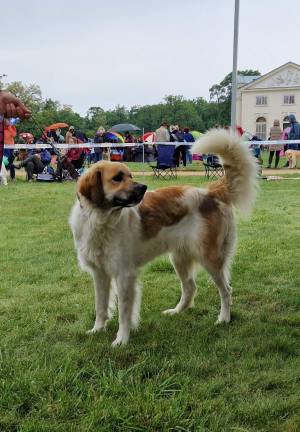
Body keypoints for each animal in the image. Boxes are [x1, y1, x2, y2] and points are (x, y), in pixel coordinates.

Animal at [69, 130, 258, 346]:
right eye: (117, 178)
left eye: (130, 176)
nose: (143, 187)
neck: (101, 220)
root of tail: (210, 192)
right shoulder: (100, 274)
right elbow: (100, 307)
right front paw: (97, 330)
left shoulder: (124, 275)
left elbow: (124, 313)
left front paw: (122, 339)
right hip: (179, 258)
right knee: (190, 287)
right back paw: (177, 311)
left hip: (210, 258)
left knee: (226, 290)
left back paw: (224, 318)